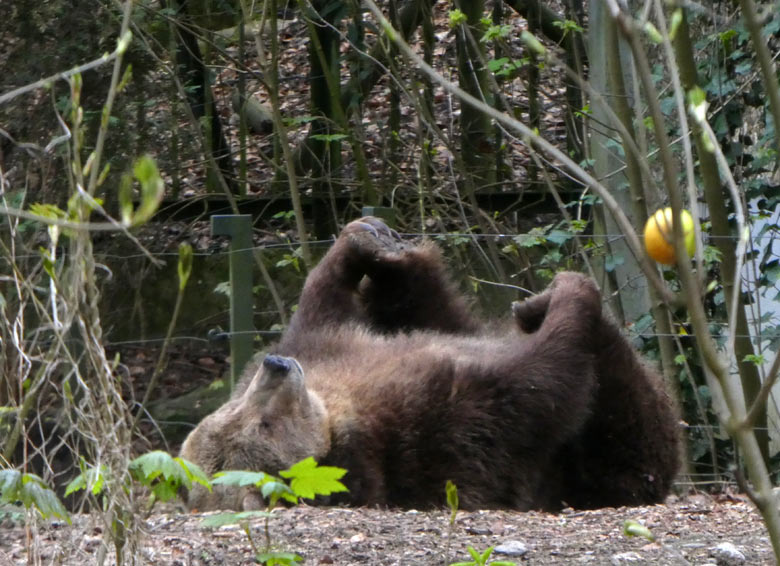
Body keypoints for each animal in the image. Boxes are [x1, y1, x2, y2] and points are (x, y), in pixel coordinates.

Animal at [181, 215, 676, 512]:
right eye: (262, 425)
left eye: (239, 406)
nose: (277, 366)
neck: (337, 411)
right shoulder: (425, 423)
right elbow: (535, 385)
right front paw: (566, 305)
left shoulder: (328, 349)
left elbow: (322, 306)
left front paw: (364, 241)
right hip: (599, 463)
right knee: (626, 419)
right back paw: (559, 301)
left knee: (434, 309)